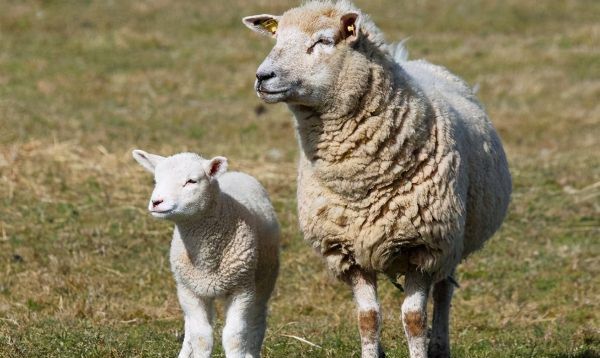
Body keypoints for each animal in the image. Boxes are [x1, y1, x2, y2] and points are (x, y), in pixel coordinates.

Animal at [132, 150, 280, 356]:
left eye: (191, 181)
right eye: (155, 180)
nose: (156, 202)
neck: (207, 259)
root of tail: (237, 173)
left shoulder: (242, 289)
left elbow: (234, 337)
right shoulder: (189, 291)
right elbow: (201, 337)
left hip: (265, 277)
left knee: (257, 321)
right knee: (191, 328)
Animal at [243, 1, 510, 356]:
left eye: (324, 40)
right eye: (277, 38)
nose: (263, 77)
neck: (360, 182)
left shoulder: (424, 248)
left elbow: (414, 320)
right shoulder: (346, 250)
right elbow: (368, 318)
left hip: (452, 241)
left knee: (444, 292)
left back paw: (440, 345)